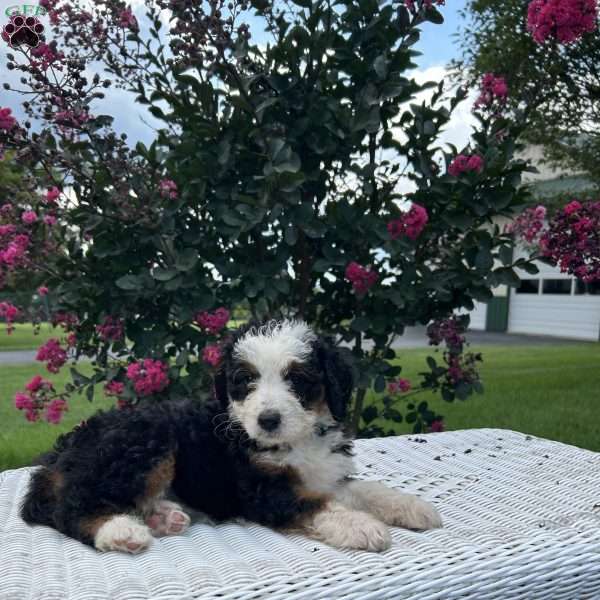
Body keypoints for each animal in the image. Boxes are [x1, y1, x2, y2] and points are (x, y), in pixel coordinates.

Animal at [22, 322, 440, 556]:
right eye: (245, 381)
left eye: (297, 379)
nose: (267, 420)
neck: (298, 441)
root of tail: (56, 457)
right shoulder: (262, 488)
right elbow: (317, 505)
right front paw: (360, 526)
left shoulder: (325, 474)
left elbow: (364, 489)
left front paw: (411, 506)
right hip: (145, 441)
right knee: (70, 509)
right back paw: (121, 531)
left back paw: (161, 518)